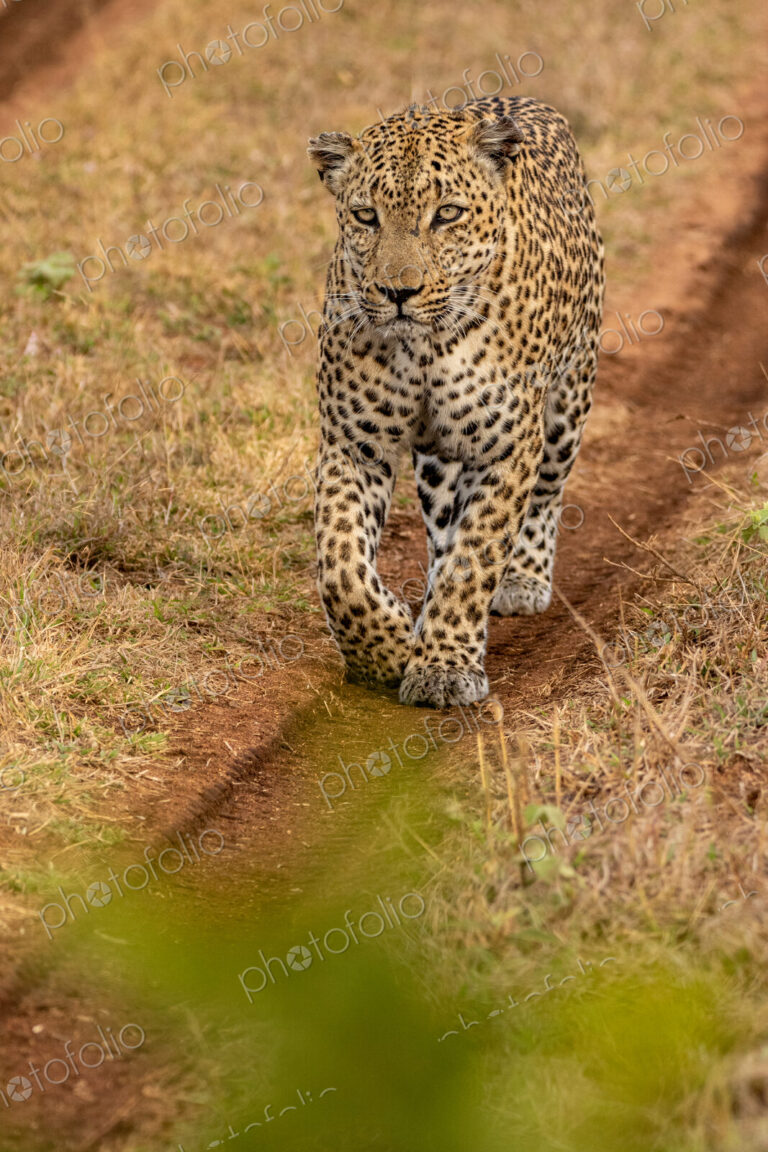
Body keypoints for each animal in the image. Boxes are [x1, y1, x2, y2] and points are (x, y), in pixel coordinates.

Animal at [307, 95, 604, 709]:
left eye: (446, 215)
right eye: (366, 216)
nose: (398, 292)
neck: (424, 346)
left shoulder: (507, 447)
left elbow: (476, 557)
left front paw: (443, 665)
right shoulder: (354, 444)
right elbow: (341, 567)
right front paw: (388, 649)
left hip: (568, 404)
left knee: (544, 495)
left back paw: (522, 581)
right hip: (438, 460)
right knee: (443, 527)